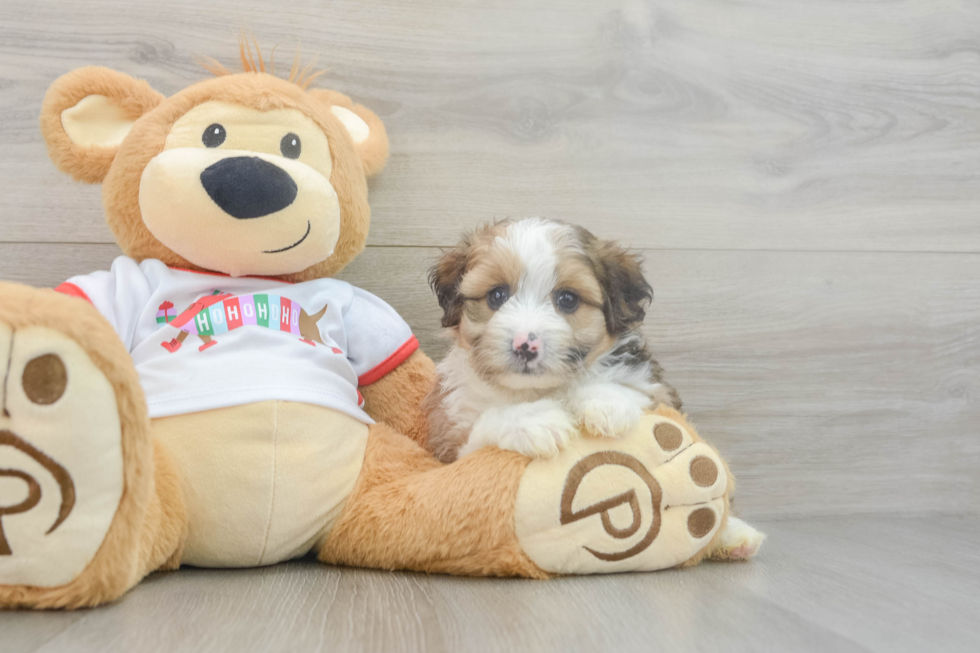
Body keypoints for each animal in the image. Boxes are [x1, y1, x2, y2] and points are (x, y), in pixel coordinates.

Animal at [424, 219, 676, 464]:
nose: (525, 346)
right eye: (497, 295)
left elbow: (640, 392)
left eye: (568, 299)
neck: (536, 390)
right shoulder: (449, 443)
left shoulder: (660, 394)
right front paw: (533, 420)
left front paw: (606, 401)